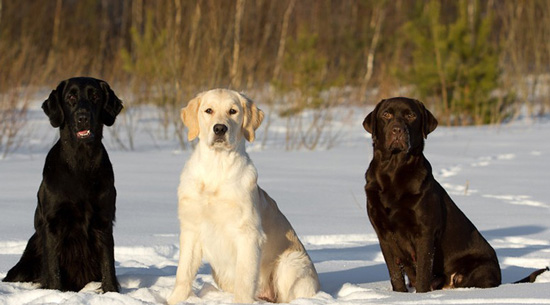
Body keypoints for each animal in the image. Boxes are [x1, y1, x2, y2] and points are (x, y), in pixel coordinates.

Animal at [2, 77, 123, 290]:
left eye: (95, 96)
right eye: (71, 97)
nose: (83, 117)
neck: (80, 164)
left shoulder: (104, 219)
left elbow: (108, 264)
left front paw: (111, 292)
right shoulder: (52, 223)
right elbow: (53, 268)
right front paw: (55, 292)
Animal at [169, 89, 324, 302]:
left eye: (233, 111)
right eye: (208, 110)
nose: (220, 128)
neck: (216, 167)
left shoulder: (248, 234)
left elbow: (244, 278)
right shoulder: (191, 229)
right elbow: (183, 274)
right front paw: (175, 300)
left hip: (290, 262)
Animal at [364, 98, 502, 292]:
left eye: (411, 115)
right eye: (386, 114)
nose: (397, 130)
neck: (393, 171)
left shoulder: (425, 232)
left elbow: (423, 272)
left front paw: (422, 295)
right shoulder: (383, 233)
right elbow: (395, 275)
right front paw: (399, 295)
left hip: (479, 269)